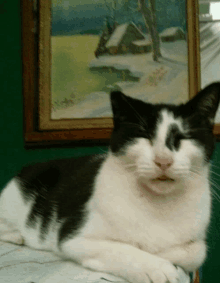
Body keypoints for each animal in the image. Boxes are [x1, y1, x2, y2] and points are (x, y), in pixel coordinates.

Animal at [0, 82, 220, 283]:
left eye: (183, 137)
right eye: (144, 136)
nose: (163, 160)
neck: (160, 206)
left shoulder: (196, 242)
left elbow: (195, 251)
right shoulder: (74, 238)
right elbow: (125, 249)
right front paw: (158, 268)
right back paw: (17, 236)